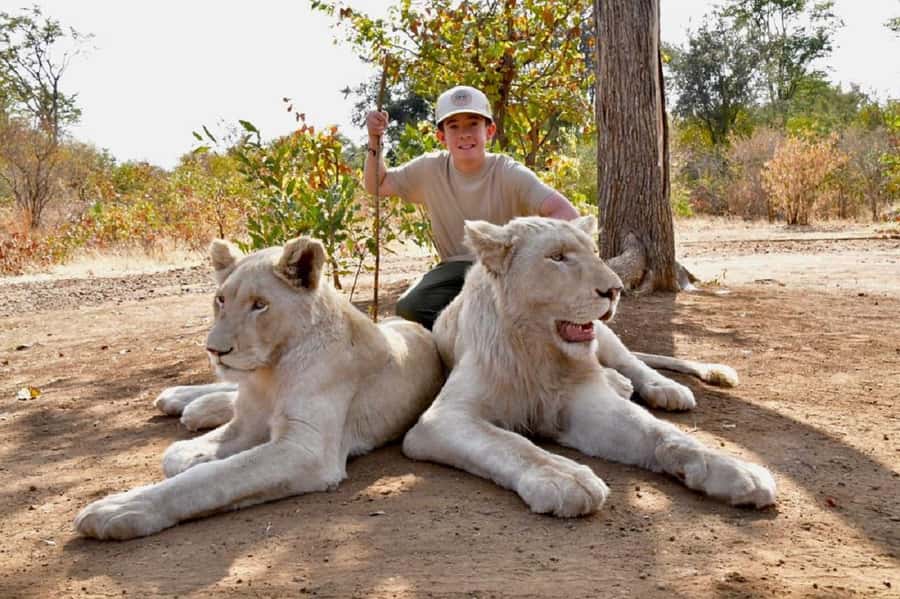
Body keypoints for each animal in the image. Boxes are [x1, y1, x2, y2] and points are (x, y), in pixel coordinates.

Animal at [75, 236, 445, 540]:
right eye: (220, 300)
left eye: (259, 305)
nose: (214, 350)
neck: (270, 371)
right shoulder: (247, 419)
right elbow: (178, 455)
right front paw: (196, 453)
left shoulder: (306, 449)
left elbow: (212, 477)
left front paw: (119, 509)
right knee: (226, 392)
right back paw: (182, 400)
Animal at [402, 215, 776, 516]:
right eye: (557, 257)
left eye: (594, 253)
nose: (615, 290)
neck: (539, 351)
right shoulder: (442, 419)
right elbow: (512, 445)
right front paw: (565, 478)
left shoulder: (584, 401)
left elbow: (663, 434)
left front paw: (739, 472)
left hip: (607, 336)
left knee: (633, 362)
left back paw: (665, 389)